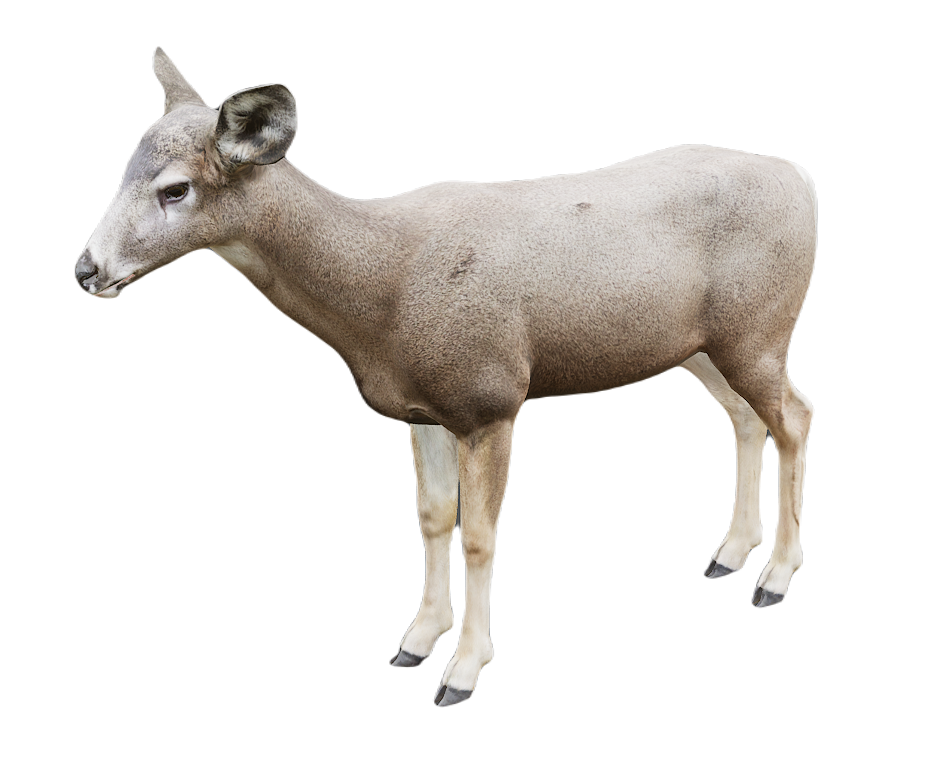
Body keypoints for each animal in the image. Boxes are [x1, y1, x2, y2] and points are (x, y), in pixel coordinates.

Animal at [75, 47, 816, 708]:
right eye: (124, 170)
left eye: (175, 189)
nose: (86, 270)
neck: (385, 291)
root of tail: (803, 180)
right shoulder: (424, 409)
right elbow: (432, 517)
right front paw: (416, 640)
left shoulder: (491, 397)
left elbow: (480, 536)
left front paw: (462, 670)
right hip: (703, 346)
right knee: (746, 416)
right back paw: (730, 552)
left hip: (762, 328)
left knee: (796, 414)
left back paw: (776, 576)